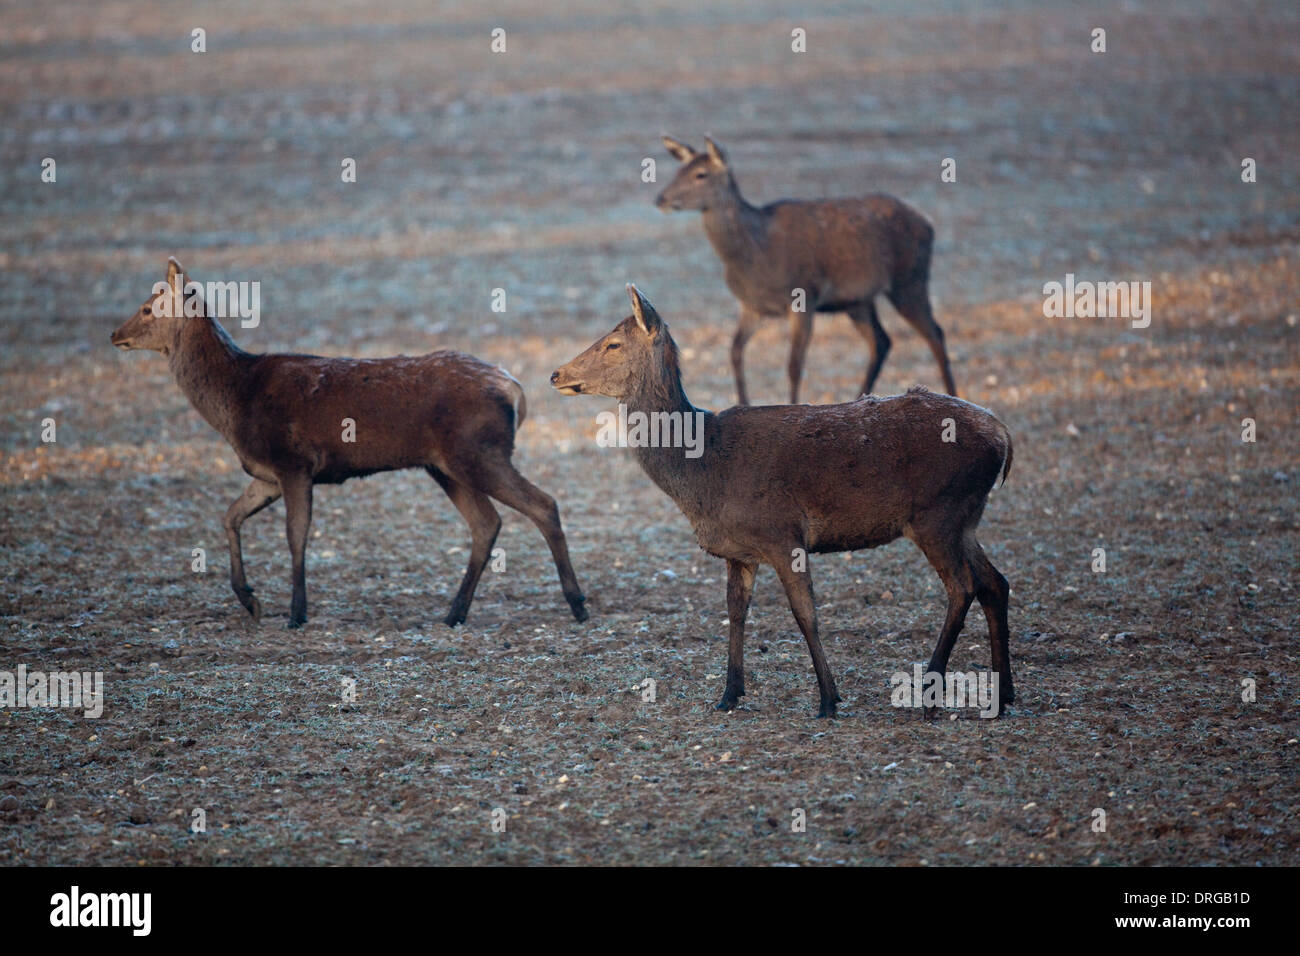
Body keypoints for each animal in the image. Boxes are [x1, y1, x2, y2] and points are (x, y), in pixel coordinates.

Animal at [112, 257, 588, 629]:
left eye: (147, 308)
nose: (115, 335)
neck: (235, 401)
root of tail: (514, 388)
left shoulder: (293, 463)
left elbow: (296, 535)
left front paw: (296, 613)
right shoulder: (267, 474)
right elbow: (230, 517)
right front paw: (251, 601)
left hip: (479, 453)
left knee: (543, 504)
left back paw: (577, 604)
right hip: (445, 465)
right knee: (486, 523)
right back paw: (455, 613)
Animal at [552, 285, 1013, 718]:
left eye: (613, 344)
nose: (556, 374)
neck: (702, 471)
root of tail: (1002, 435)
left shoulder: (782, 534)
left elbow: (804, 613)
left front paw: (828, 700)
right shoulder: (739, 552)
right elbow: (736, 612)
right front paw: (729, 695)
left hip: (938, 513)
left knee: (963, 587)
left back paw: (930, 698)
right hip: (966, 518)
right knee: (995, 583)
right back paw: (1004, 695)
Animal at [656, 135, 958, 406]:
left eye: (701, 174)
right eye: (678, 170)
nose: (660, 198)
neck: (754, 256)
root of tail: (927, 222)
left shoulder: (804, 297)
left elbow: (794, 365)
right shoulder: (752, 307)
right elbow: (735, 352)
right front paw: (743, 403)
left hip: (910, 280)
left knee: (935, 334)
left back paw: (951, 395)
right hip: (858, 300)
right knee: (881, 341)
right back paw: (859, 398)